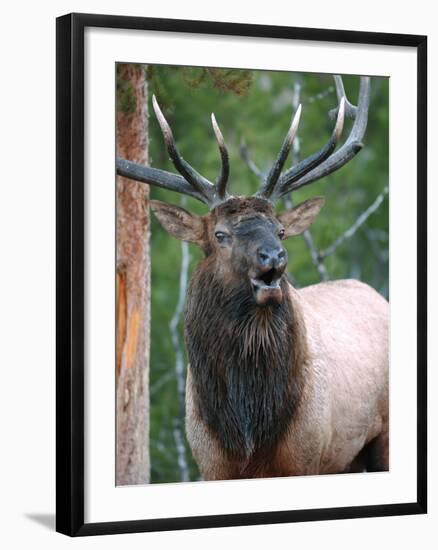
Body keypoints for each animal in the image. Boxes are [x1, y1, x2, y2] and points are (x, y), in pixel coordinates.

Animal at [117, 75, 390, 480]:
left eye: (280, 230)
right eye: (220, 235)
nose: (274, 257)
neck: (247, 432)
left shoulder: (306, 458)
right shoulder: (210, 464)